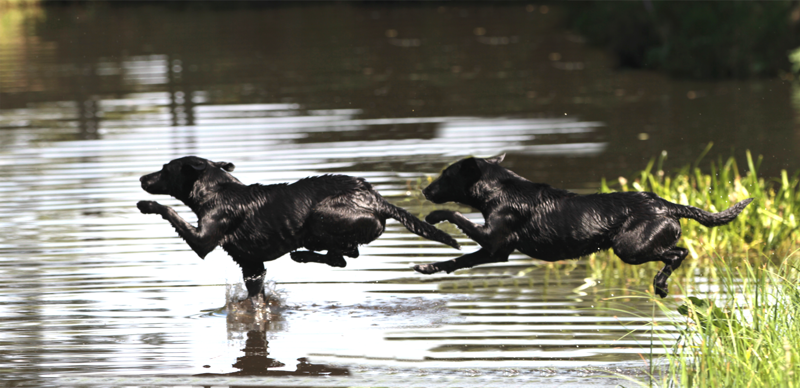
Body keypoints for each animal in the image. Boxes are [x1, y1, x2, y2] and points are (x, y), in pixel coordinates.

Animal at [138, 156, 460, 304]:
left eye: (165, 169)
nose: (142, 178)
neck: (218, 190)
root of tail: (377, 199)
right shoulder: (252, 264)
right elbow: (256, 294)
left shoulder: (202, 241)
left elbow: (170, 211)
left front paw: (147, 204)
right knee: (345, 256)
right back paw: (305, 254)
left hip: (321, 215)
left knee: (342, 256)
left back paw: (302, 255)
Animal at [416, 155, 752, 298]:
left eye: (446, 175)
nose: (425, 190)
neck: (500, 189)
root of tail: (666, 204)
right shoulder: (497, 251)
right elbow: (457, 261)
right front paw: (428, 267)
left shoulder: (494, 238)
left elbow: (457, 216)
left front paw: (433, 218)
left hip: (629, 248)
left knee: (678, 253)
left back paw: (660, 284)